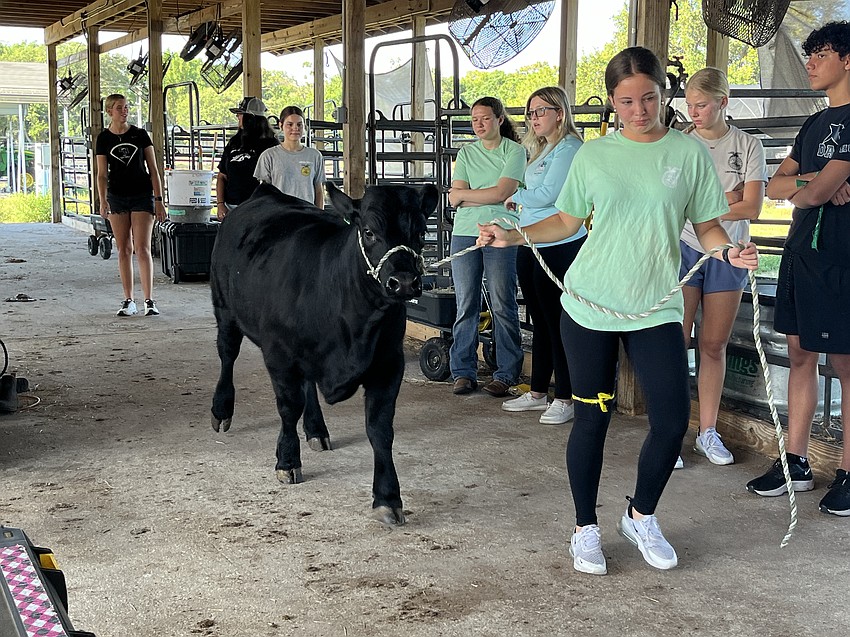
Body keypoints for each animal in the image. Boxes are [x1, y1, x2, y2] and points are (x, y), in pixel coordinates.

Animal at [210, 181, 438, 525]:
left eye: (422, 231)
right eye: (369, 232)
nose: (404, 282)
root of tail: (265, 192)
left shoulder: (389, 364)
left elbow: (380, 429)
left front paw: (387, 497)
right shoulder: (279, 355)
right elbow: (288, 408)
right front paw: (287, 461)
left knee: (307, 386)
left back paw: (316, 429)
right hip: (224, 308)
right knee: (227, 355)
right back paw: (221, 410)